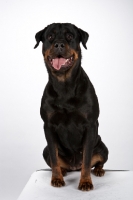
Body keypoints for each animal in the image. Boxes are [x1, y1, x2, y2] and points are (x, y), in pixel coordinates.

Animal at [34, 22, 108, 191]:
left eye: (69, 36)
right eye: (50, 36)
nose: (59, 44)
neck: (64, 85)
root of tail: (74, 167)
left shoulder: (90, 125)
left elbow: (86, 159)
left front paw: (85, 182)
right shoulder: (48, 126)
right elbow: (54, 157)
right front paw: (56, 179)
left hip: (102, 147)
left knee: (98, 161)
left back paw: (99, 170)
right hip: (45, 150)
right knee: (54, 159)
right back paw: (63, 171)